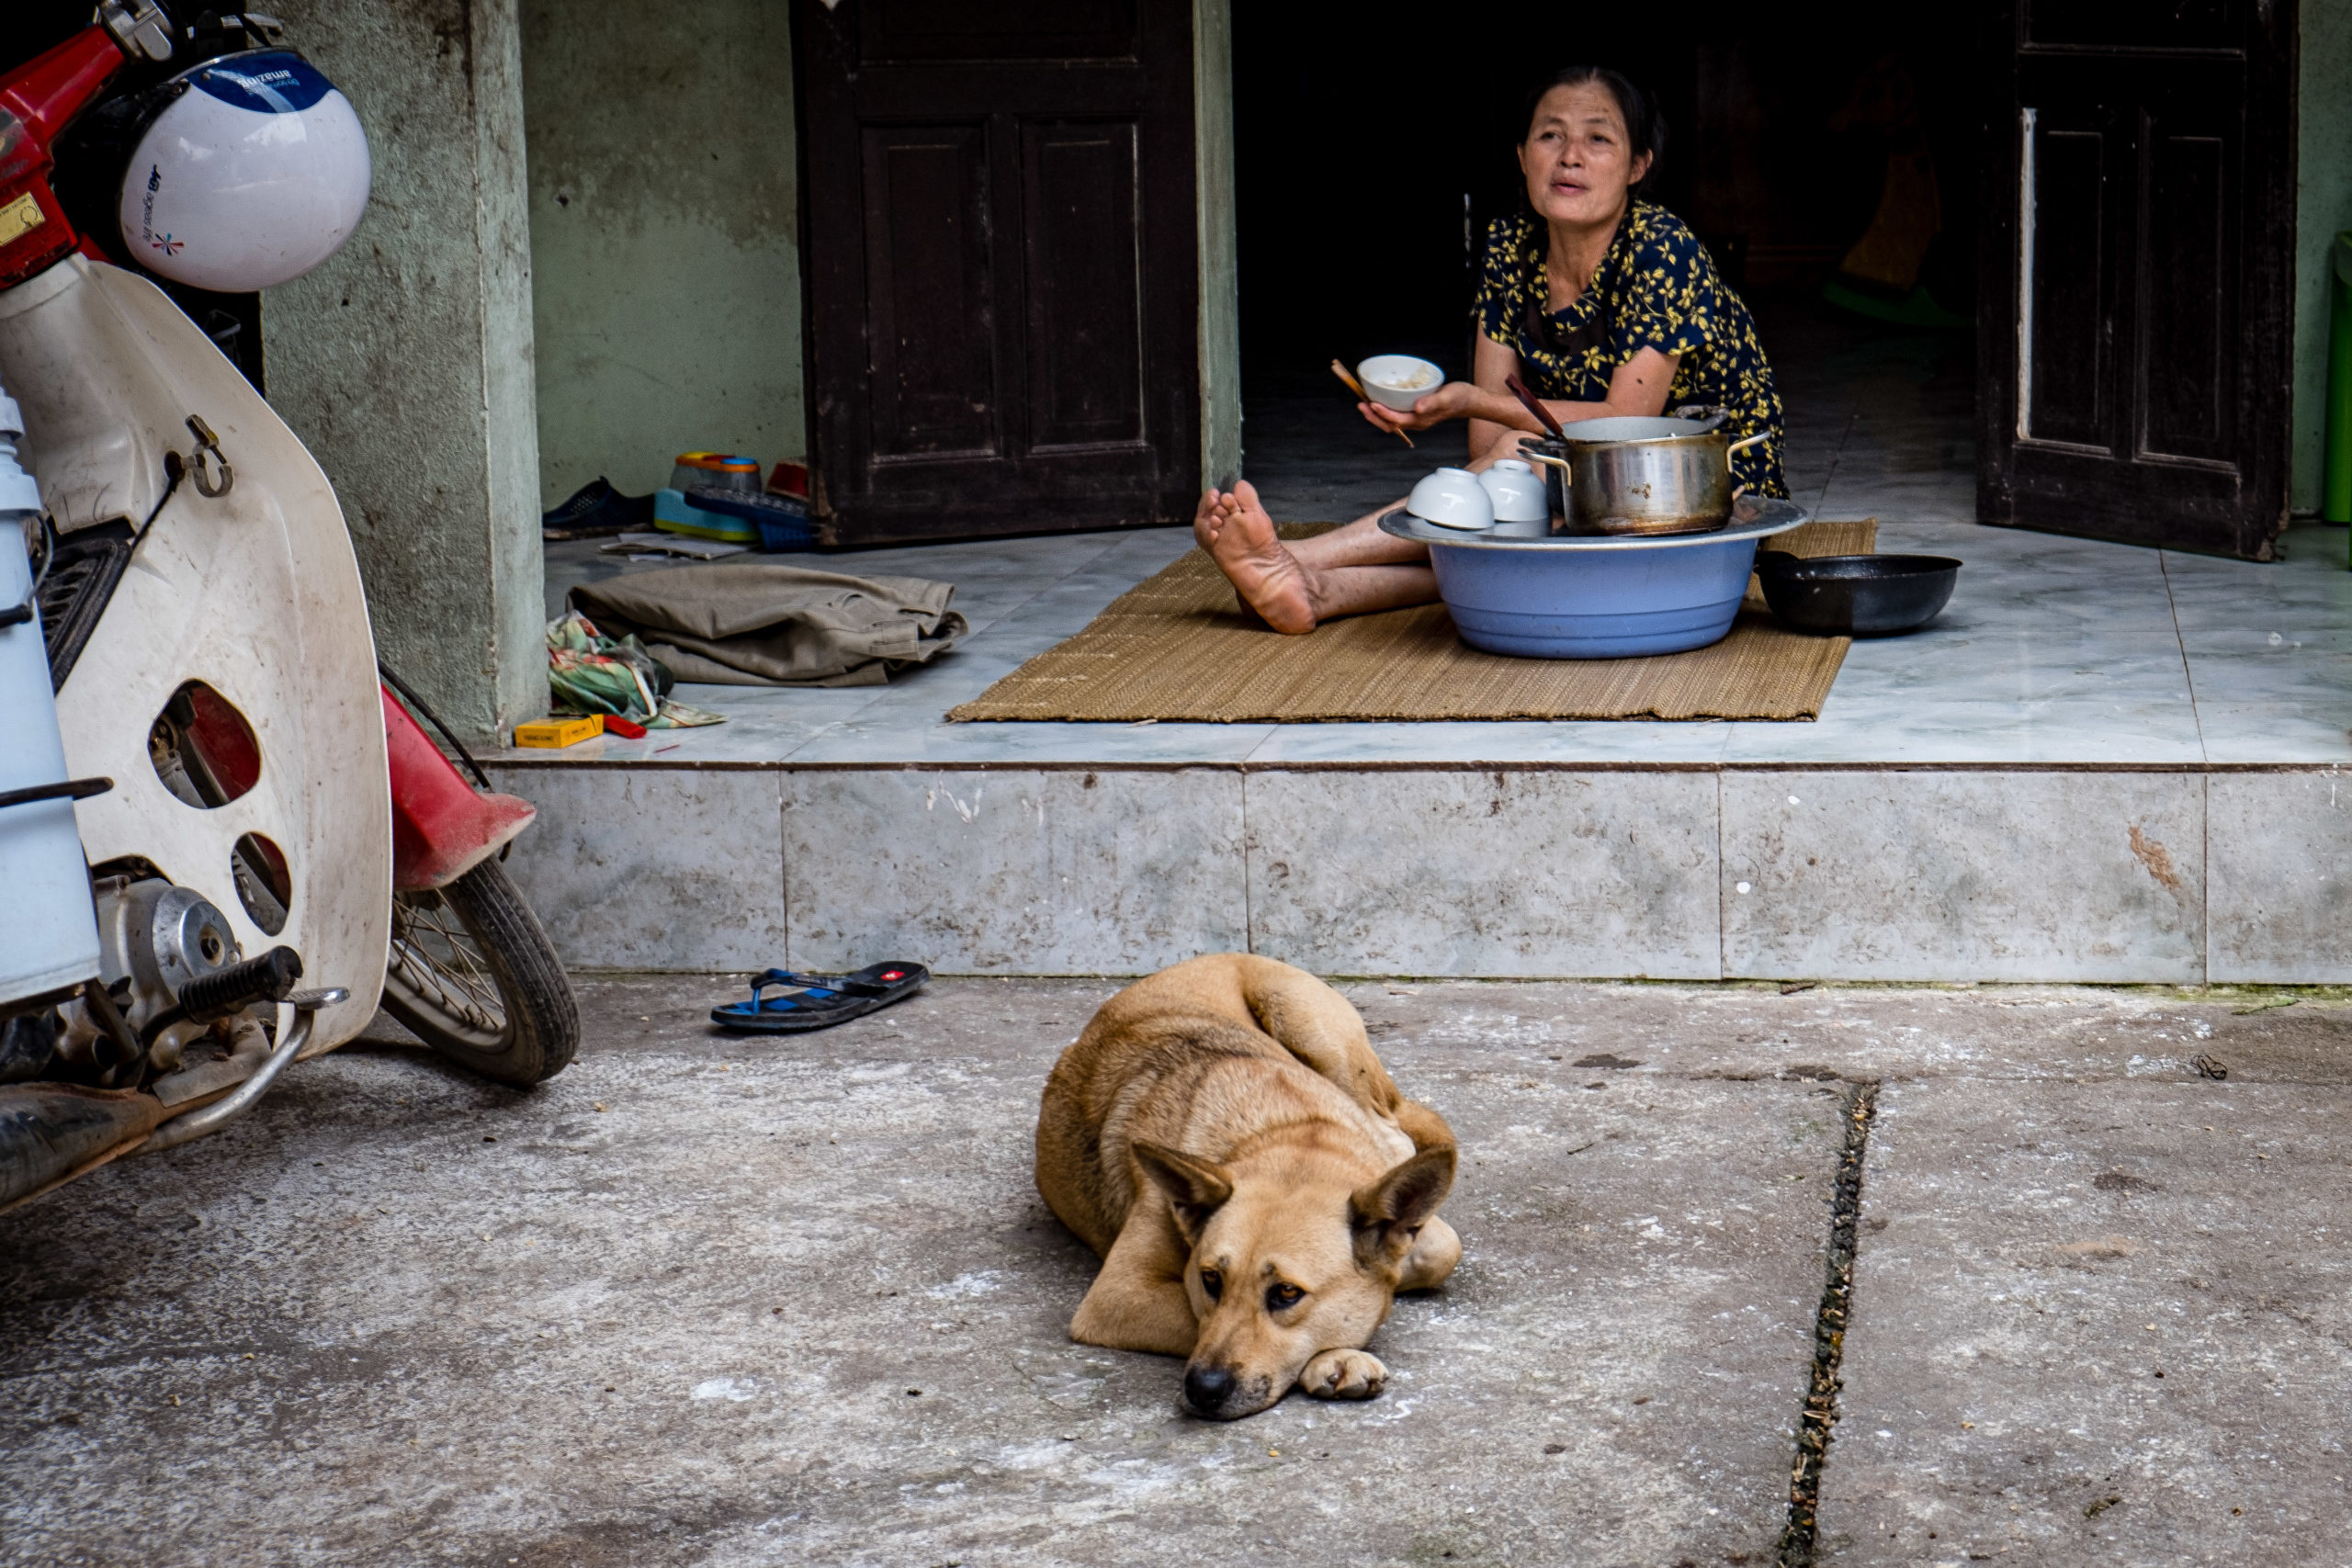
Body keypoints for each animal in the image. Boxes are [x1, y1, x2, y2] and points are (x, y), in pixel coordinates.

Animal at [1039, 959, 1458, 1419]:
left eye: (1287, 1293)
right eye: (1210, 1280)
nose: (1202, 1390)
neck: (1289, 1133)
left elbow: (1439, 1249)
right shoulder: (1119, 1295)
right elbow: (1195, 1318)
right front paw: (1334, 1356)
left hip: (1311, 1026)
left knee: (1391, 1123)